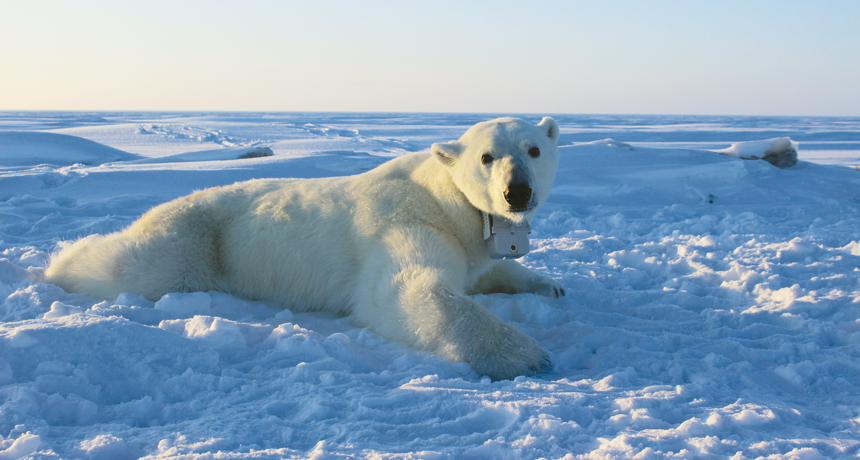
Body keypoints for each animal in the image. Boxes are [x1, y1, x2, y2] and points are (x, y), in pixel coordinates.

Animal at [45, 117, 565, 380]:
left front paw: (549, 285)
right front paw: (527, 355)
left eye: (534, 149)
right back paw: (59, 260)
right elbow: (405, 291)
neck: (444, 198)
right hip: (195, 242)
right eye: (486, 156)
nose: (517, 192)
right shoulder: (406, 223)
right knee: (131, 265)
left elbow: (488, 269)